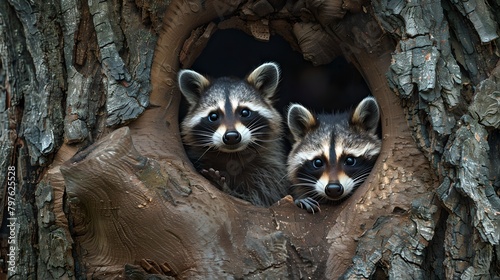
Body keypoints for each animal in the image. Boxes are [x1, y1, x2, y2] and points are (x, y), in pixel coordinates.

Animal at [178, 62, 288, 207]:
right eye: (213, 116)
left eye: (245, 112)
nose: (231, 136)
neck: (232, 154)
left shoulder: (270, 168)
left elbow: (261, 198)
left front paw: (226, 188)